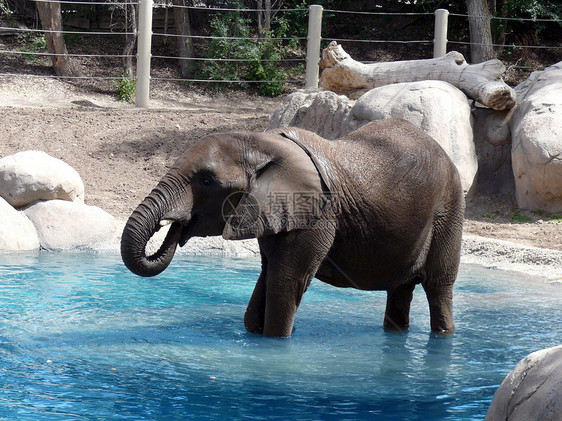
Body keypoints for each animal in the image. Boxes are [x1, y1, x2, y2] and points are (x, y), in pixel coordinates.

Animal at [120, 118, 462, 338]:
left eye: (206, 180)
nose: (175, 226)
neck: (261, 141)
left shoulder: (318, 216)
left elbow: (286, 281)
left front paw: (277, 341)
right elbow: (268, 275)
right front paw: (257, 330)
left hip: (449, 207)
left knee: (438, 287)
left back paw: (443, 334)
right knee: (400, 290)